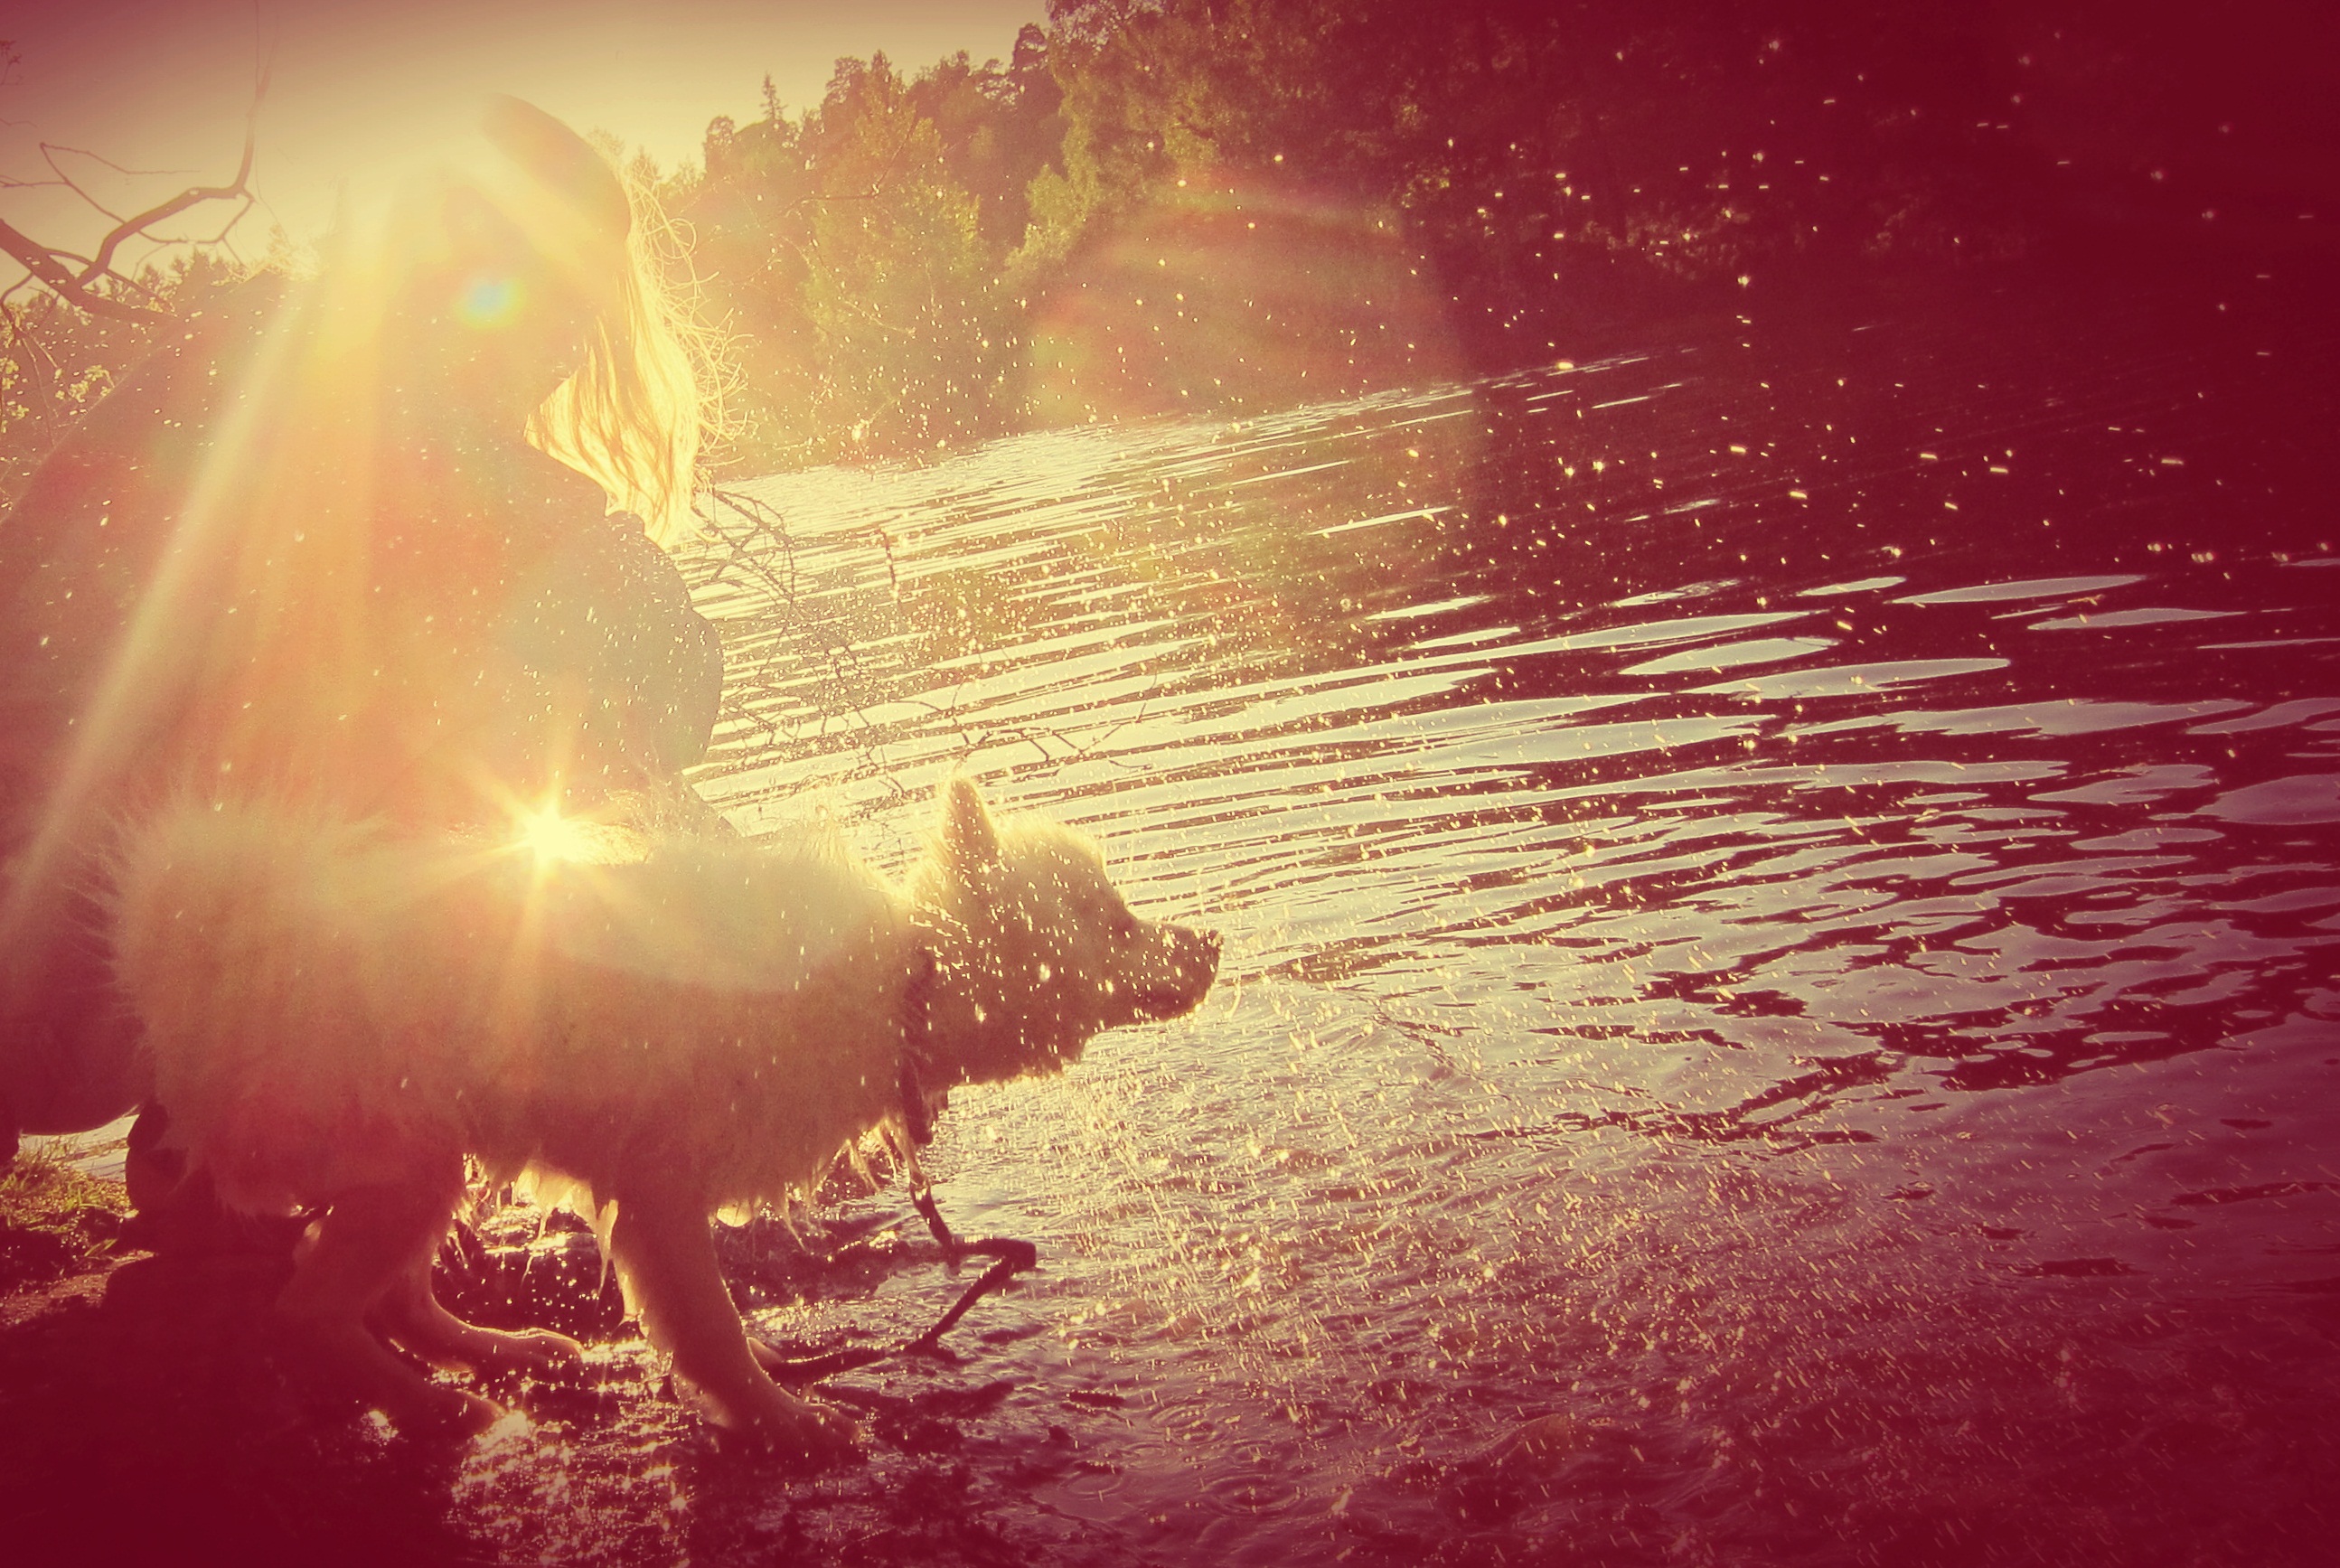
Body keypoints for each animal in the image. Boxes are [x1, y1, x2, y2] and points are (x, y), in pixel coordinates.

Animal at [108, 778, 1218, 1454]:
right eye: (1113, 921)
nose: (1208, 941)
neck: (898, 985)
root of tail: (198, 941)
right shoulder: (657, 1193)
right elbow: (711, 1329)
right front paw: (788, 1421)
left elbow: (711, 1328)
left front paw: (776, 1394)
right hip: (404, 1155)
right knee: (307, 1313)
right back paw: (432, 1406)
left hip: (427, 1159)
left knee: (382, 1295)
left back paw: (507, 1352)